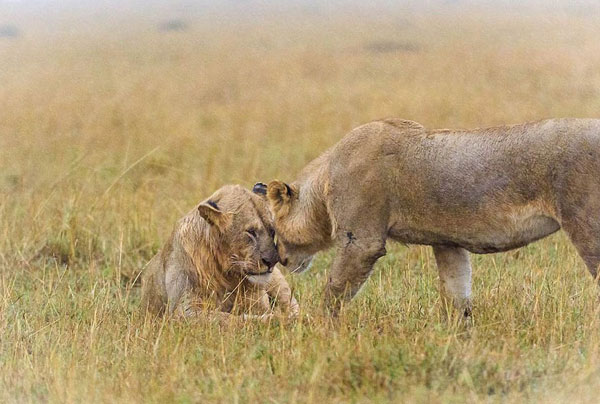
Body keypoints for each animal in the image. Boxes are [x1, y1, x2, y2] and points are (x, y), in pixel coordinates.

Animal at [141, 185, 300, 320]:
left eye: (272, 231)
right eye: (251, 232)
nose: (272, 261)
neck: (228, 274)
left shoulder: (258, 303)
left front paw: (281, 317)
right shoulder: (183, 310)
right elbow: (226, 319)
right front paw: (274, 318)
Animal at [262, 118, 600, 318]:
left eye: (274, 229)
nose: (281, 259)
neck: (326, 177)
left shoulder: (361, 241)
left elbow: (334, 290)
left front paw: (317, 328)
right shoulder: (447, 243)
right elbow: (457, 293)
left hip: (586, 224)